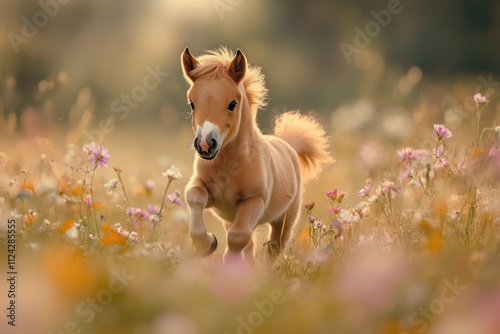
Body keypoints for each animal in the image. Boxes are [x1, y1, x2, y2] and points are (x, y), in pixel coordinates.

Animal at [182, 47, 330, 264]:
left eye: (232, 103)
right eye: (192, 103)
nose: (205, 144)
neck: (228, 165)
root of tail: (288, 146)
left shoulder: (254, 201)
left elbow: (238, 237)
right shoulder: (211, 194)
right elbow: (193, 196)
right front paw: (206, 244)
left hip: (284, 220)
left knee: (274, 246)